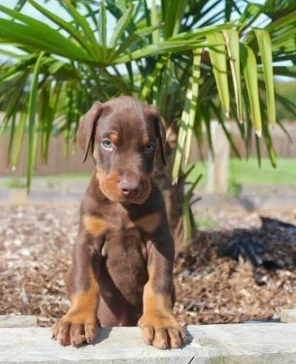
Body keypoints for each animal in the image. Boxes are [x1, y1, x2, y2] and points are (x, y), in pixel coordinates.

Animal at [51, 96, 185, 350]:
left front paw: (161, 321)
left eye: (149, 146)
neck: (122, 208)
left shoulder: (160, 240)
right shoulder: (87, 241)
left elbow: (158, 283)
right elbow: (85, 282)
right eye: (107, 143)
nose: (131, 188)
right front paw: (77, 320)